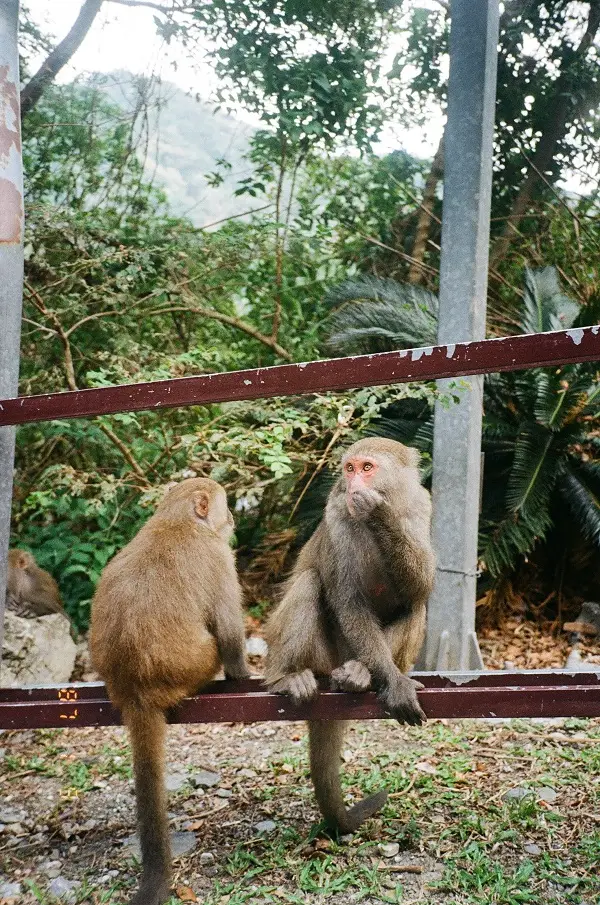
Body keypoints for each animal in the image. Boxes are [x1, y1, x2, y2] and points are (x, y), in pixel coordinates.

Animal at [90, 478, 249, 905]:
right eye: (224, 505)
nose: (232, 517)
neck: (177, 521)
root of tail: (135, 691)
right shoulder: (218, 557)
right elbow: (229, 632)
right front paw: (242, 675)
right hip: (193, 667)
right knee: (215, 645)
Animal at [265, 437, 435, 834]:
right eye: (350, 468)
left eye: (367, 468)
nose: (354, 484)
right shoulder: (338, 516)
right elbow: (349, 601)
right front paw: (392, 682)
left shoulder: (421, 506)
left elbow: (420, 586)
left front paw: (379, 514)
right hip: (322, 655)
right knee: (311, 582)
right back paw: (286, 676)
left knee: (414, 605)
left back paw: (359, 673)